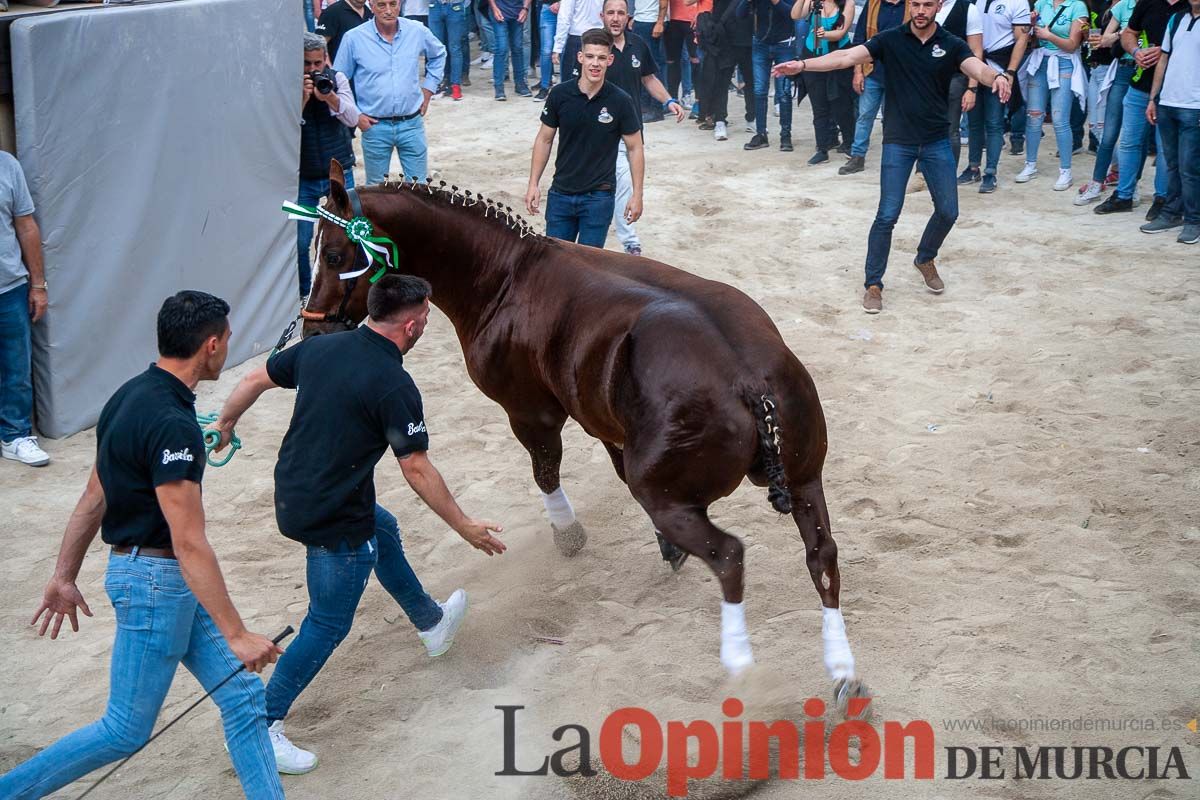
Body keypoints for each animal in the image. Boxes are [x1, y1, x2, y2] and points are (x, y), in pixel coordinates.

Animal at [300, 165, 864, 705]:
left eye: (333, 254)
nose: (313, 330)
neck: (506, 275)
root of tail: (748, 377)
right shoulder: (605, 421)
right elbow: (611, 466)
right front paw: (663, 548)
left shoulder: (529, 412)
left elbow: (545, 470)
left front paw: (568, 533)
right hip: (804, 478)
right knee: (822, 555)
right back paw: (843, 672)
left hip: (668, 495)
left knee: (728, 557)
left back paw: (742, 665)